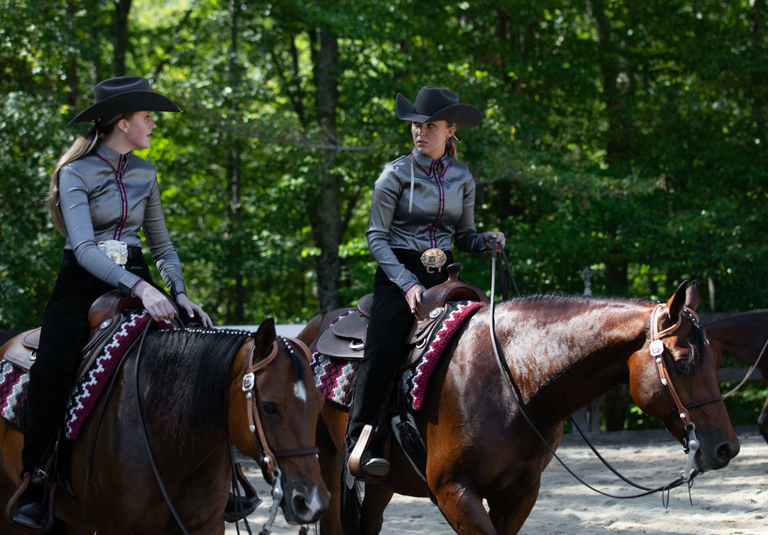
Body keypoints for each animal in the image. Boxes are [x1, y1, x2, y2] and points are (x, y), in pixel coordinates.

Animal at [298, 282, 736, 532]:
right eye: (682, 360)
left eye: (716, 360)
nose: (726, 448)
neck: (515, 383)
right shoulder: (454, 492)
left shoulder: (519, 495)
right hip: (328, 464)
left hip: (381, 483)